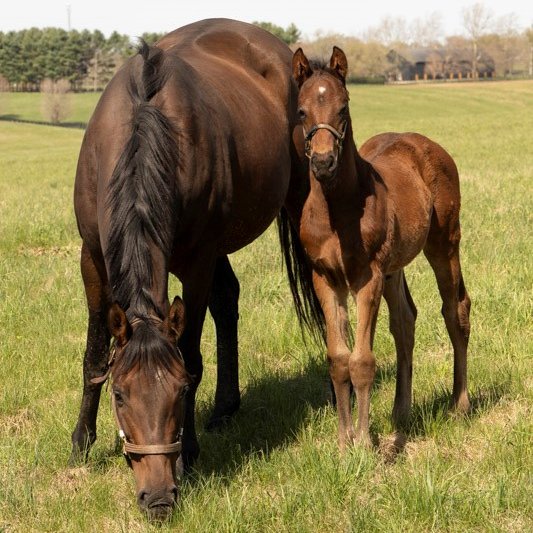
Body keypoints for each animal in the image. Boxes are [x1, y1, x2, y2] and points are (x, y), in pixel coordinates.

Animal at [70, 18, 306, 516]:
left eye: (178, 393)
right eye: (119, 394)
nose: (158, 498)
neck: (144, 126)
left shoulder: (196, 261)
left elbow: (192, 355)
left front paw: (190, 454)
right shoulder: (92, 256)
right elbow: (95, 353)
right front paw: (81, 442)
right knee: (228, 299)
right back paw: (225, 407)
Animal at [282, 46, 470, 448]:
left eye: (343, 107)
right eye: (301, 111)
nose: (323, 163)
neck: (338, 212)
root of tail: (425, 143)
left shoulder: (366, 278)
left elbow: (362, 361)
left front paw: (365, 443)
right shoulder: (326, 279)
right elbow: (338, 359)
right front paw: (343, 442)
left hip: (444, 243)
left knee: (455, 309)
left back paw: (459, 405)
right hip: (394, 267)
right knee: (405, 322)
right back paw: (401, 413)